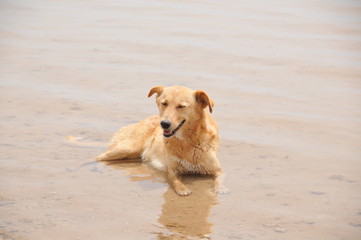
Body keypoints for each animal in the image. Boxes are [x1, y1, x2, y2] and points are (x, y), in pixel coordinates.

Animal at [95, 85, 228, 196]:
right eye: (164, 103)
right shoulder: (171, 170)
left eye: (181, 106)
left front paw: (221, 188)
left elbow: (221, 178)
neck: (187, 142)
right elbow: (174, 180)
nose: (164, 124)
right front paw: (182, 189)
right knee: (98, 157)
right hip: (127, 148)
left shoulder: (217, 169)